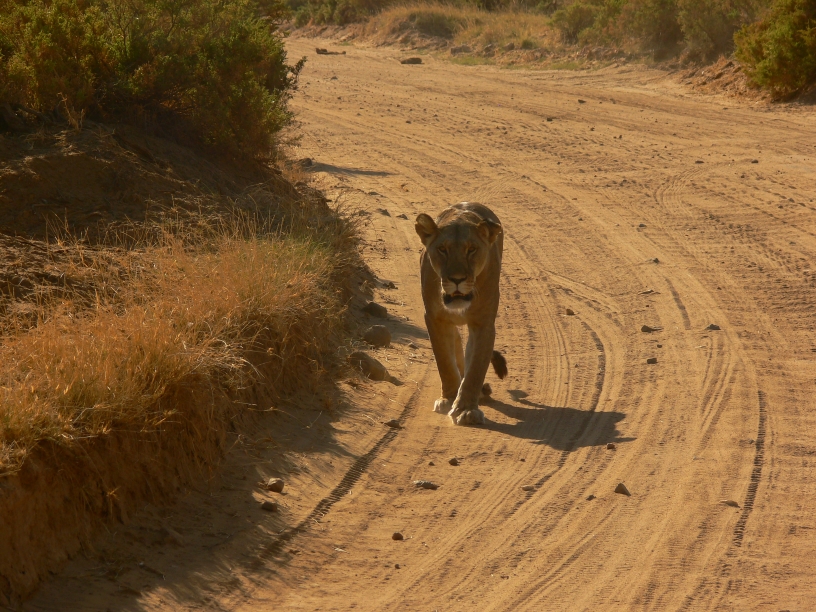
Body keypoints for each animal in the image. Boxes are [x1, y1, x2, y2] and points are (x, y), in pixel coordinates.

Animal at [415, 202, 508, 425]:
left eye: (471, 250)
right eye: (442, 249)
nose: (457, 279)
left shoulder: (483, 323)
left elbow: (476, 368)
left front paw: (466, 410)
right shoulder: (435, 318)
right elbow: (445, 362)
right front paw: (449, 399)